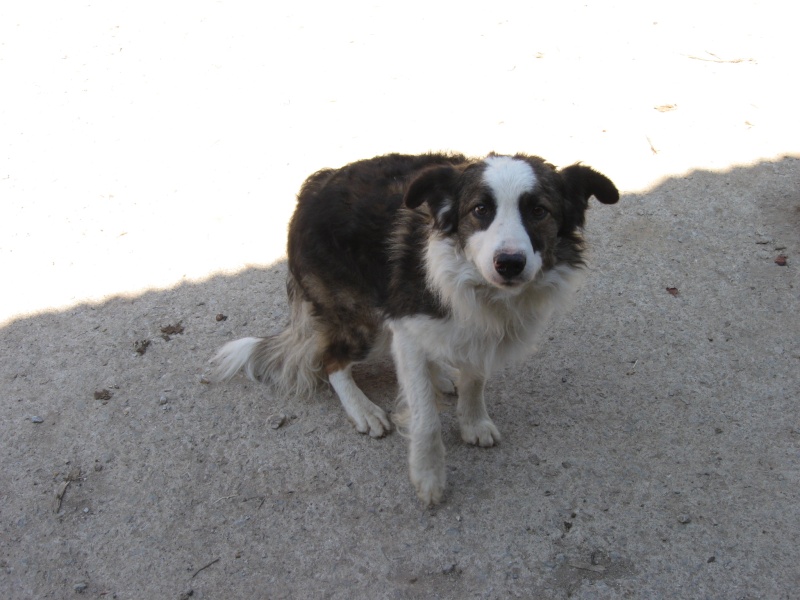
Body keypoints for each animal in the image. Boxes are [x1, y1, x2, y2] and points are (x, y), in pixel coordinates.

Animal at [208, 152, 620, 504]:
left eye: (538, 210)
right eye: (480, 210)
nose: (510, 263)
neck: (476, 283)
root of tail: (315, 185)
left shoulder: (477, 329)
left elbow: (475, 378)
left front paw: (472, 419)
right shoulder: (408, 326)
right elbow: (425, 419)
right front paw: (428, 476)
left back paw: (440, 374)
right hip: (364, 319)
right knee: (332, 360)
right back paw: (363, 409)